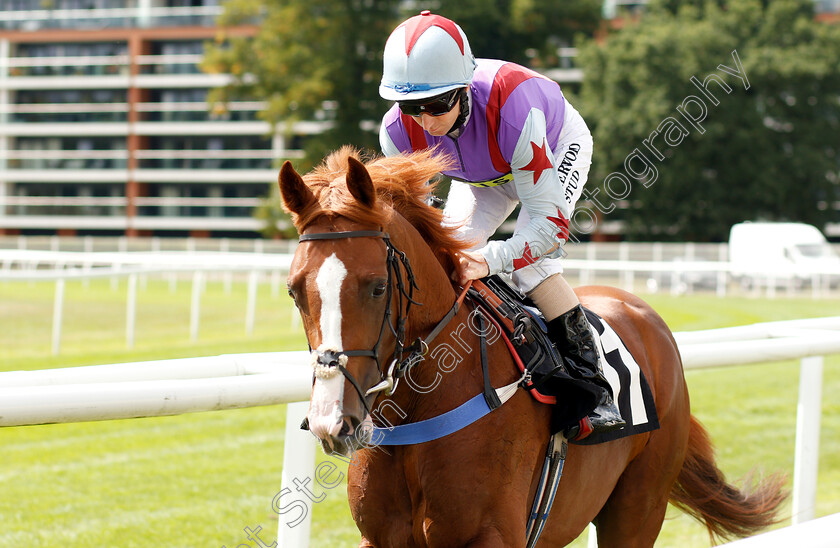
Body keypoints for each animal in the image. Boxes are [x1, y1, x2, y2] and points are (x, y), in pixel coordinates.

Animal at [278, 148, 784, 544]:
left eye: (378, 287)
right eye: (294, 290)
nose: (331, 422)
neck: (421, 409)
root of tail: (642, 310)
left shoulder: (492, 535)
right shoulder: (379, 537)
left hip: (638, 507)